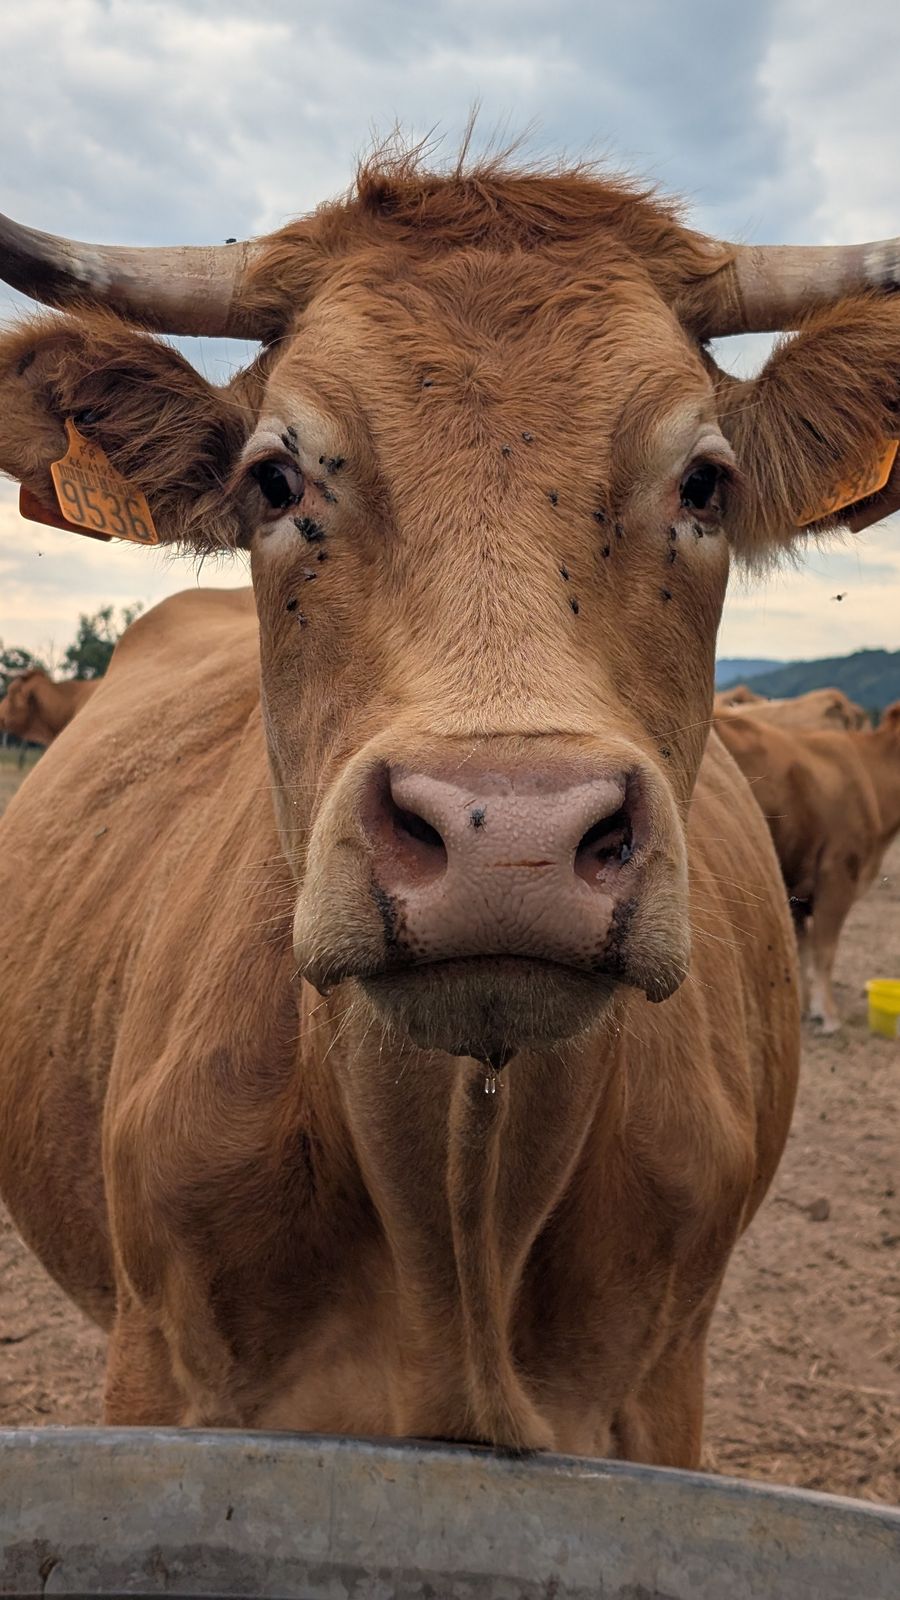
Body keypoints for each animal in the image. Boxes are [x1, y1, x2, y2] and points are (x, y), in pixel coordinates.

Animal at [715, 704, 900, 1032]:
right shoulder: (837, 877)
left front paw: (800, 1005)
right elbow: (825, 950)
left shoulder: (796, 891)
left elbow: (800, 949)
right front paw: (827, 1015)